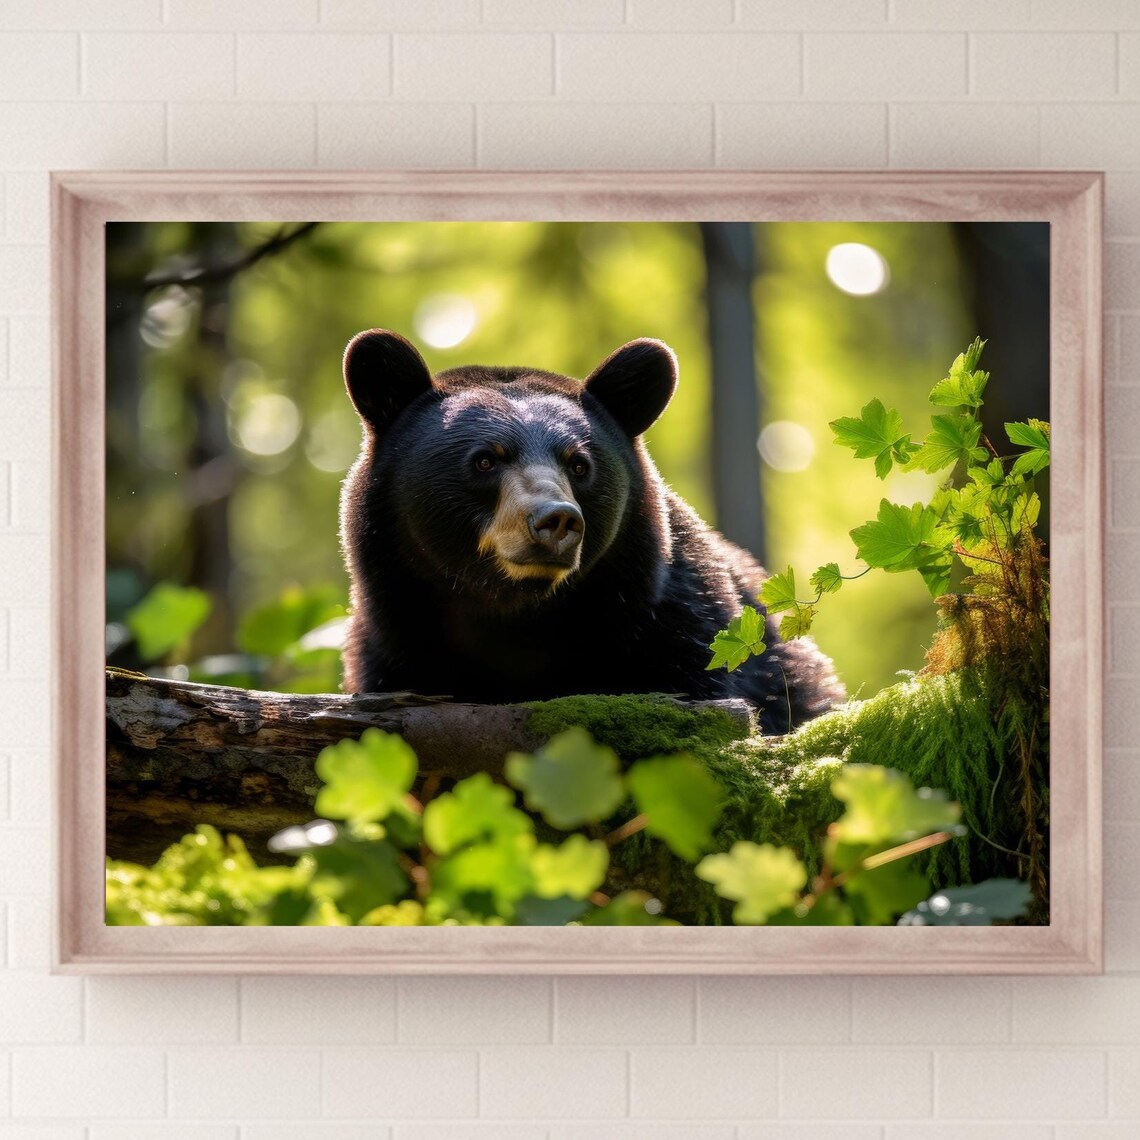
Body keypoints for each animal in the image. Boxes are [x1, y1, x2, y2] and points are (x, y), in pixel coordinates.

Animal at [339, 329, 844, 734]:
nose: (555, 519)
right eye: (485, 460)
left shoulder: (688, 631)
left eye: (579, 464)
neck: (516, 619)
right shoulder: (393, 649)